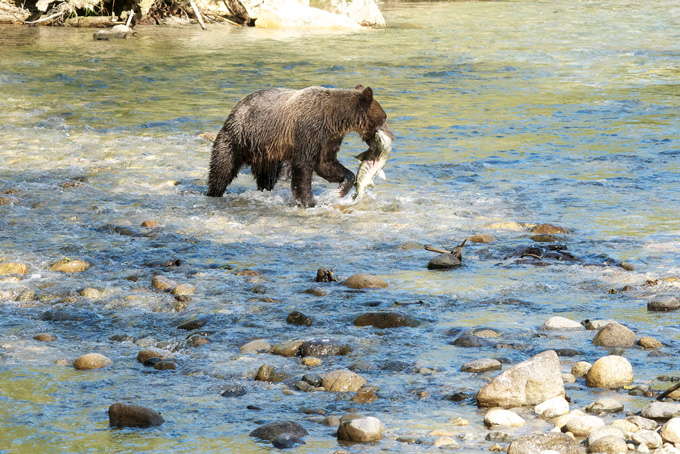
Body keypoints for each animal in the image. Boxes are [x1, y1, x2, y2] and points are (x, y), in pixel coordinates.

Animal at [206, 85, 394, 208]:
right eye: (384, 117)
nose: (393, 135)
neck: (334, 118)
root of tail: (237, 106)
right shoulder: (309, 130)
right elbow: (303, 166)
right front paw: (309, 202)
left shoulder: (328, 138)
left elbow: (326, 164)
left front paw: (341, 188)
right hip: (238, 137)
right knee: (222, 169)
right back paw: (213, 192)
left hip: (265, 152)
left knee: (266, 177)